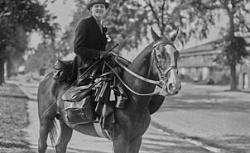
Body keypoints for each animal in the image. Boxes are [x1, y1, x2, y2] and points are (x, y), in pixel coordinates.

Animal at [37, 28, 181, 152]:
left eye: (177, 54)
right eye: (159, 55)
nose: (174, 85)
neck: (134, 100)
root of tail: (46, 78)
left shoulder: (136, 139)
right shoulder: (120, 140)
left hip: (66, 123)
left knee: (60, 146)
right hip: (45, 121)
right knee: (42, 145)